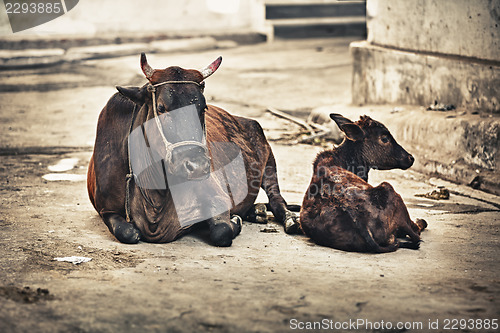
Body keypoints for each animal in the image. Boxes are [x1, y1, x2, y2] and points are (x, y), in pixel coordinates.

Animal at [87, 54, 296, 245]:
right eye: (161, 108)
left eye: (203, 108)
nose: (198, 167)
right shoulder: (106, 209)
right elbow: (128, 233)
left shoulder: (218, 197)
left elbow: (222, 231)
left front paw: (235, 220)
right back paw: (257, 210)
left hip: (269, 163)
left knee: (277, 199)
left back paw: (289, 219)